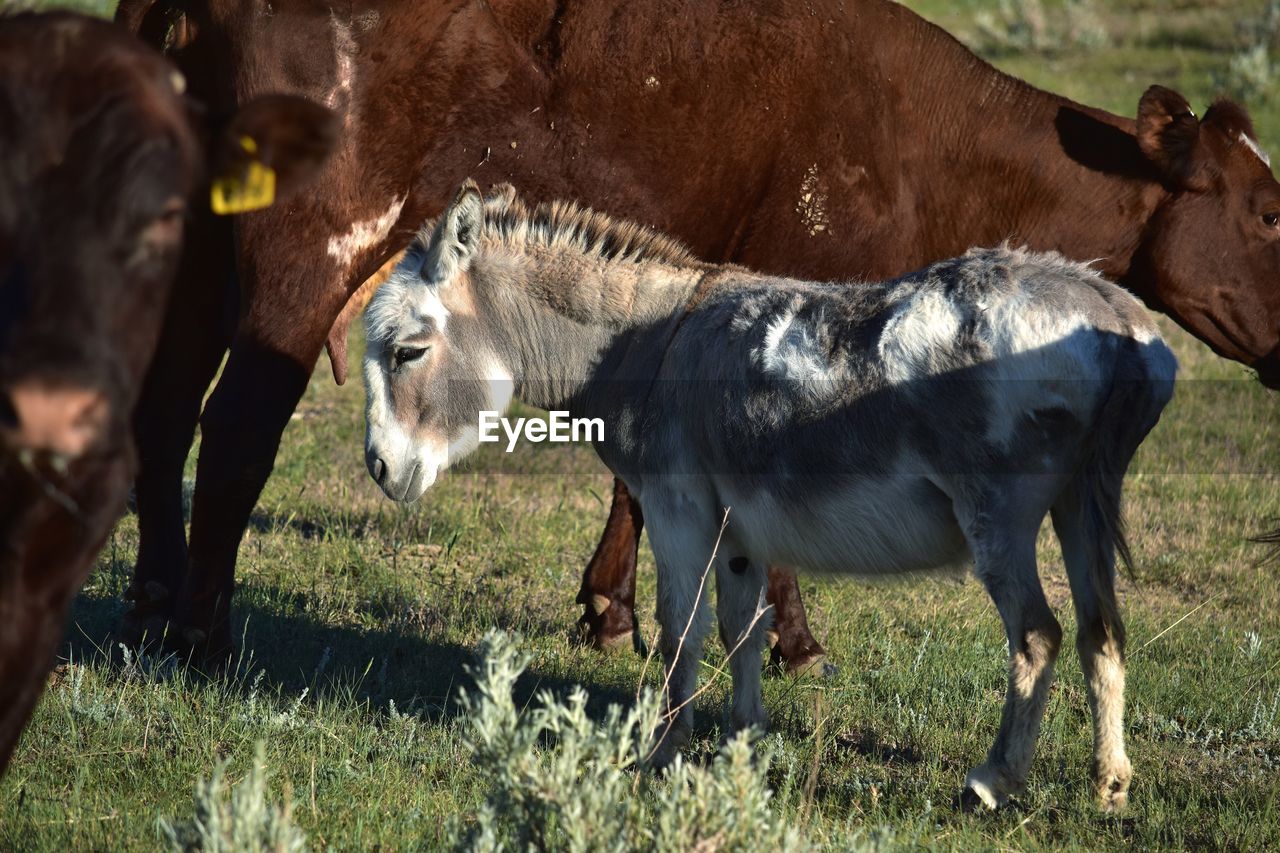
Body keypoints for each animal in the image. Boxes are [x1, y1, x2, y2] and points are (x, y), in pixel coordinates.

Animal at [115, 0, 1274, 666]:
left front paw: (610, 609)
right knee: (235, 425)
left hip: (196, 250)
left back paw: (151, 602)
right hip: (301, 249)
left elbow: (640, 478)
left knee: (161, 413)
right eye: (1267, 210)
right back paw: (202, 632)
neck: (926, 143)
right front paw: (789, 639)